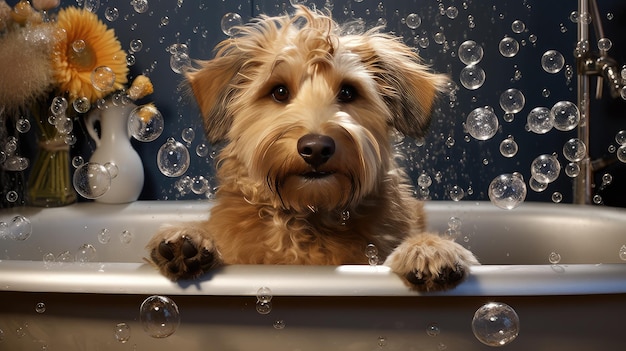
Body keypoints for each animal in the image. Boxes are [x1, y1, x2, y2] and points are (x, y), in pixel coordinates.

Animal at [146, 6, 478, 292]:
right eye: (279, 91)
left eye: (348, 92)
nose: (316, 148)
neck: (309, 215)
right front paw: (188, 239)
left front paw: (429, 248)